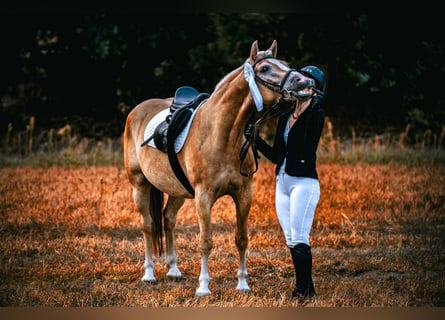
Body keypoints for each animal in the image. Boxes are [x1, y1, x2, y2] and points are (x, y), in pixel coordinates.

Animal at [123, 40, 314, 298]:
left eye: (285, 63)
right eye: (264, 68)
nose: (305, 82)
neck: (222, 134)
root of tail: (137, 110)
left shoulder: (244, 195)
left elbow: (241, 239)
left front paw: (243, 284)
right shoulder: (204, 197)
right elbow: (206, 241)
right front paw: (204, 287)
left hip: (176, 190)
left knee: (168, 219)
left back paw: (173, 269)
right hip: (140, 185)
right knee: (148, 225)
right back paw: (149, 273)